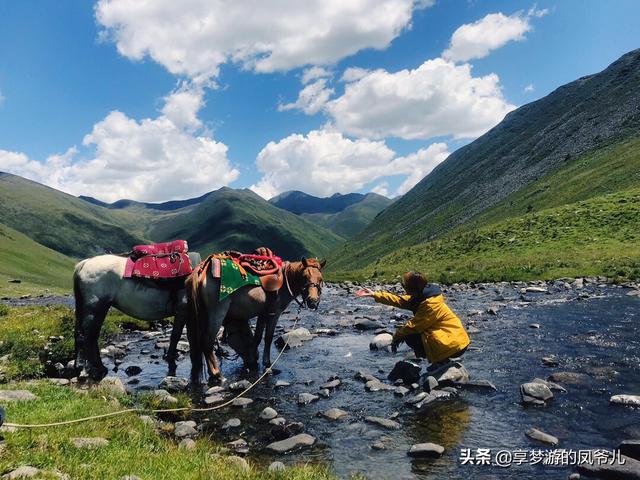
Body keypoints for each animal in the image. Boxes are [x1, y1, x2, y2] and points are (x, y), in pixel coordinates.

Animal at [185, 256, 324, 384]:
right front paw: (267, 364)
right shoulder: (274, 314)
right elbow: (268, 338)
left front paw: (252, 361)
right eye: (304, 277)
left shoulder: (263, 315)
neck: (285, 283)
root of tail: (202, 270)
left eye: (320, 279)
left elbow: (257, 338)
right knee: (207, 341)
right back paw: (216, 374)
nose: (313, 301)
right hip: (216, 314)